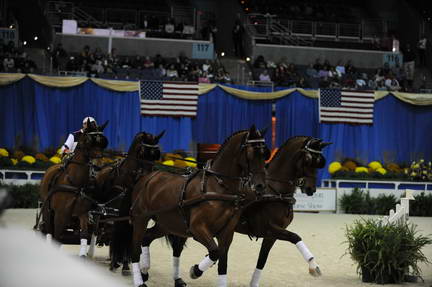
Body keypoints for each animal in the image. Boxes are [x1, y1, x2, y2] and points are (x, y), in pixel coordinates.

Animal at [37, 119, 108, 256]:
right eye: (87, 141)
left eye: (103, 142)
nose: (98, 166)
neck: (75, 183)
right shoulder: (60, 215)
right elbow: (56, 236)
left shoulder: (82, 212)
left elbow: (84, 234)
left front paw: (83, 254)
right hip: (48, 210)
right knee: (50, 231)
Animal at [95, 130, 165, 274]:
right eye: (142, 152)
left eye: (156, 155)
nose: (147, 176)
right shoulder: (119, 213)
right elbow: (118, 234)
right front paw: (115, 262)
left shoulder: (134, 215)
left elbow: (129, 238)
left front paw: (126, 264)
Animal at [129, 126, 270, 287]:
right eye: (251, 153)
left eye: (265, 154)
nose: (260, 186)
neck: (219, 187)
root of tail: (147, 177)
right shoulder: (198, 228)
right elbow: (214, 252)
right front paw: (195, 271)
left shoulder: (227, 233)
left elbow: (222, 263)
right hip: (141, 219)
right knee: (135, 249)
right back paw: (139, 280)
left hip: (167, 223)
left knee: (147, 238)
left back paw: (145, 271)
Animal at [139, 136, 330, 286]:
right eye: (308, 160)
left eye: (319, 162)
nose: (311, 189)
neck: (274, 191)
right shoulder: (268, 229)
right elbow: (295, 236)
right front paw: (314, 266)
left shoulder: (271, 236)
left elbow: (263, 260)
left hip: (169, 224)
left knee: (153, 239)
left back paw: (154, 274)